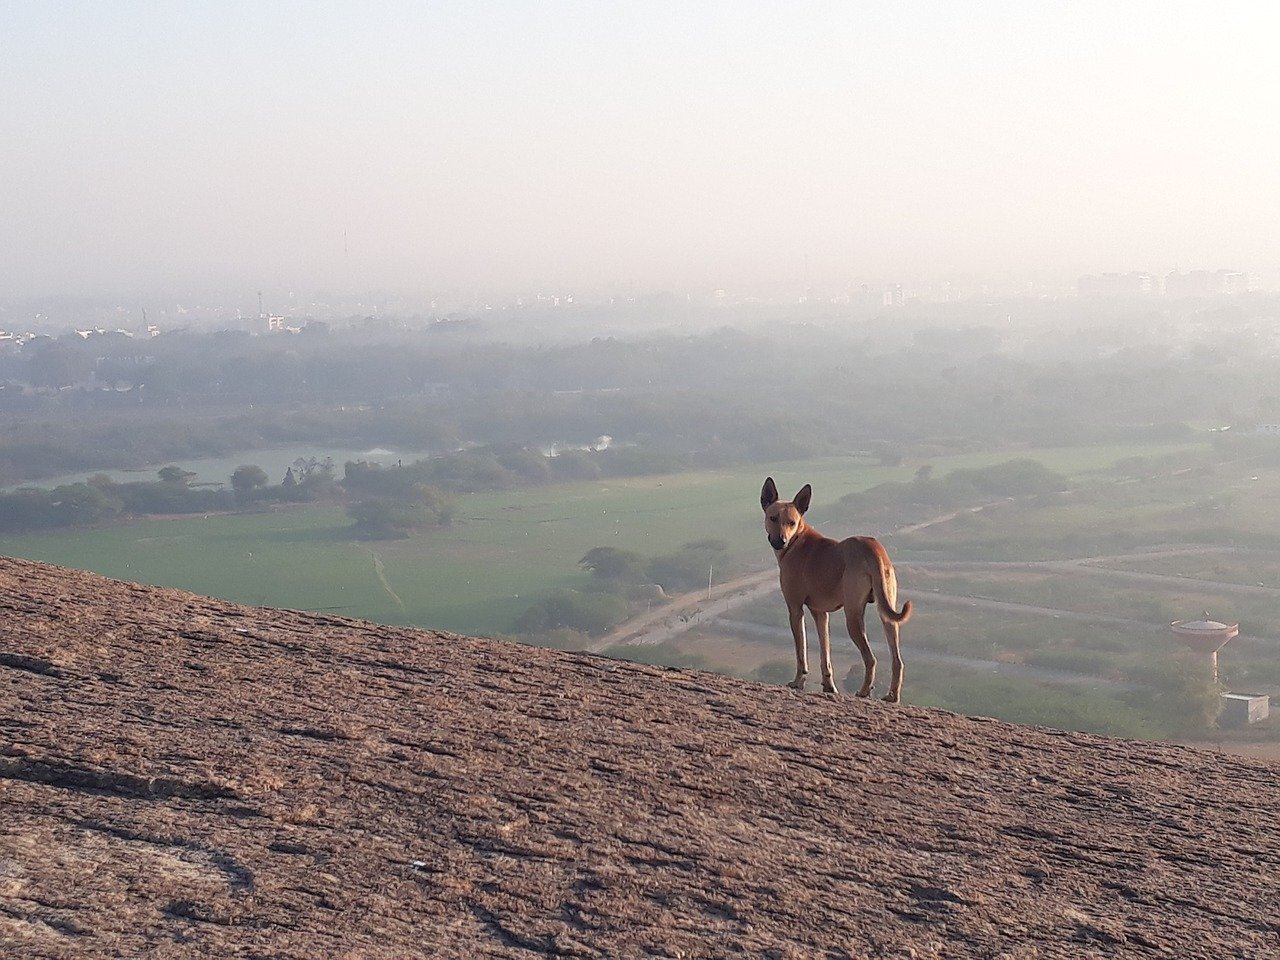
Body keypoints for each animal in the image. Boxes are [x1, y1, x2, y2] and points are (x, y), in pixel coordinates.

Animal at [757, 478, 911, 701]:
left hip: (853, 616)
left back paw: (864, 691)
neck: (797, 541)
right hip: (887, 615)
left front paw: (798, 682)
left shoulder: (795, 610)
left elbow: (801, 652)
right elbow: (825, 654)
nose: (781, 541)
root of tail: (873, 548)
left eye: (792, 522)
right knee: (897, 661)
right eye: (773, 518)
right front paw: (829, 685)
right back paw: (892, 696)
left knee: (870, 658)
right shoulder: (820, 613)